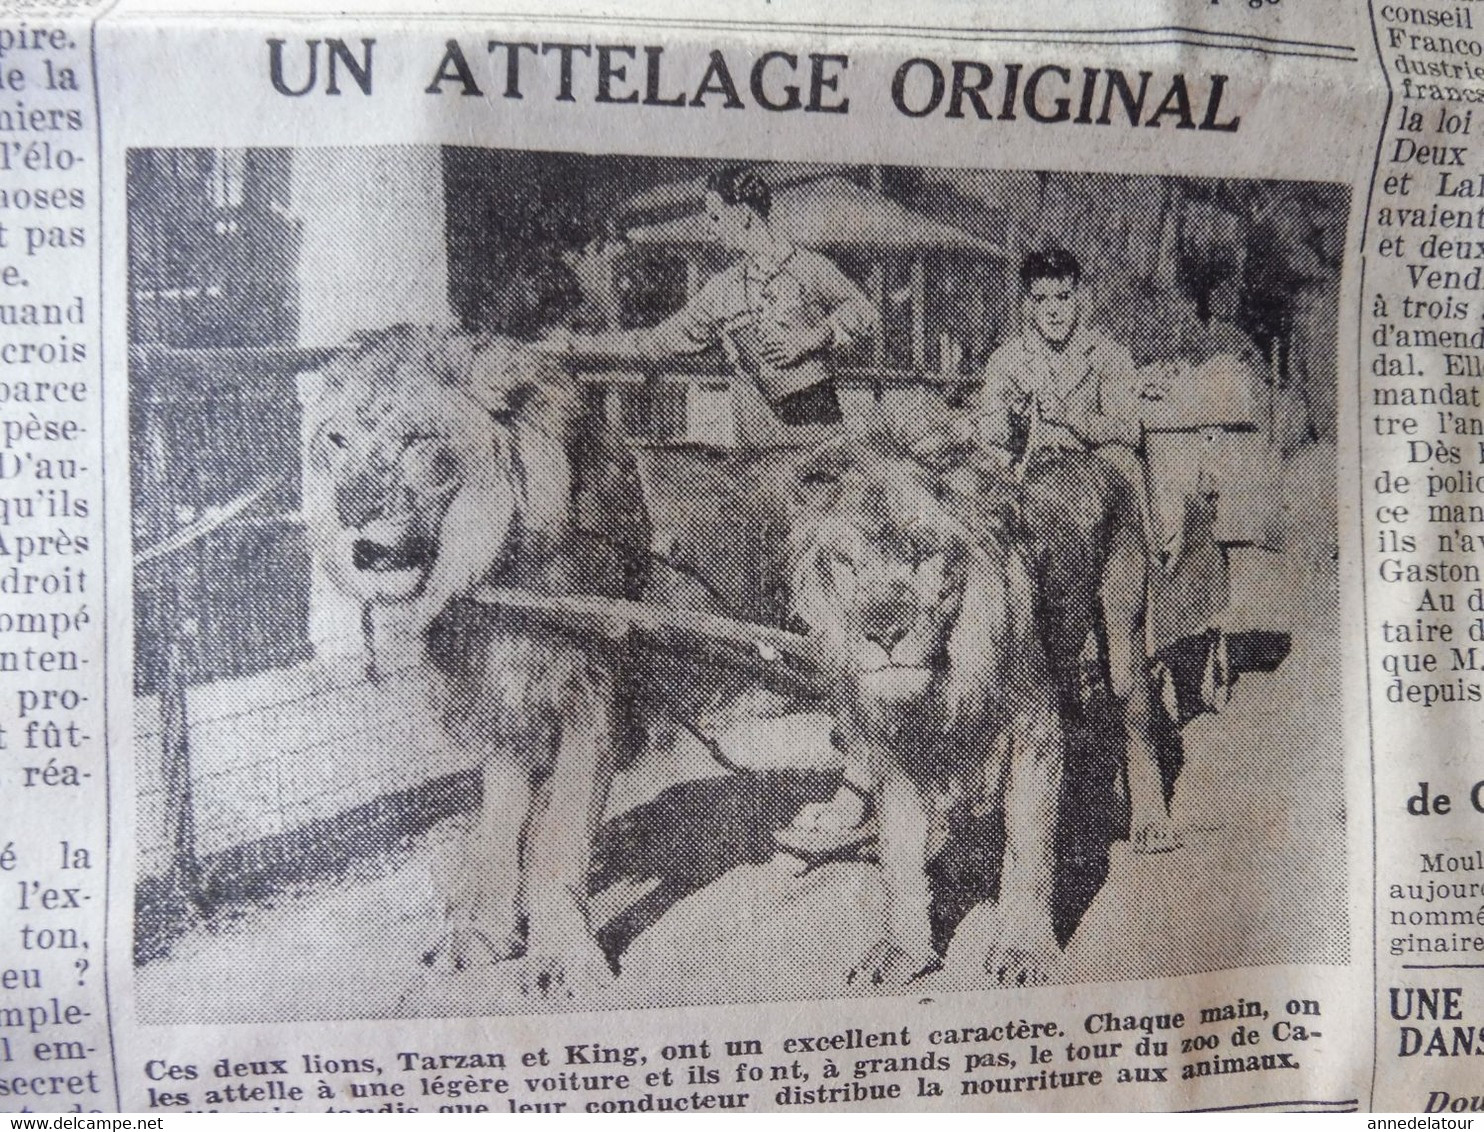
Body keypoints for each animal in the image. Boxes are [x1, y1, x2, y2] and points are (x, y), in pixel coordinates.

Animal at [301, 323, 649, 996]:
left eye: (416, 441)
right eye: (336, 440)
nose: (353, 529)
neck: (494, 570)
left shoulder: (594, 699)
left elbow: (559, 834)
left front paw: (563, 956)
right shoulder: (499, 709)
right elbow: (500, 825)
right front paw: (481, 931)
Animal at [789, 433, 1068, 991]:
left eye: (923, 558)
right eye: (850, 565)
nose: (884, 633)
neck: (949, 679)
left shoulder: (1037, 735)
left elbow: (1028, 850)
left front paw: (1024, 948)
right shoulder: (893, 754)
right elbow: (899, 861)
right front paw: (902, 950)